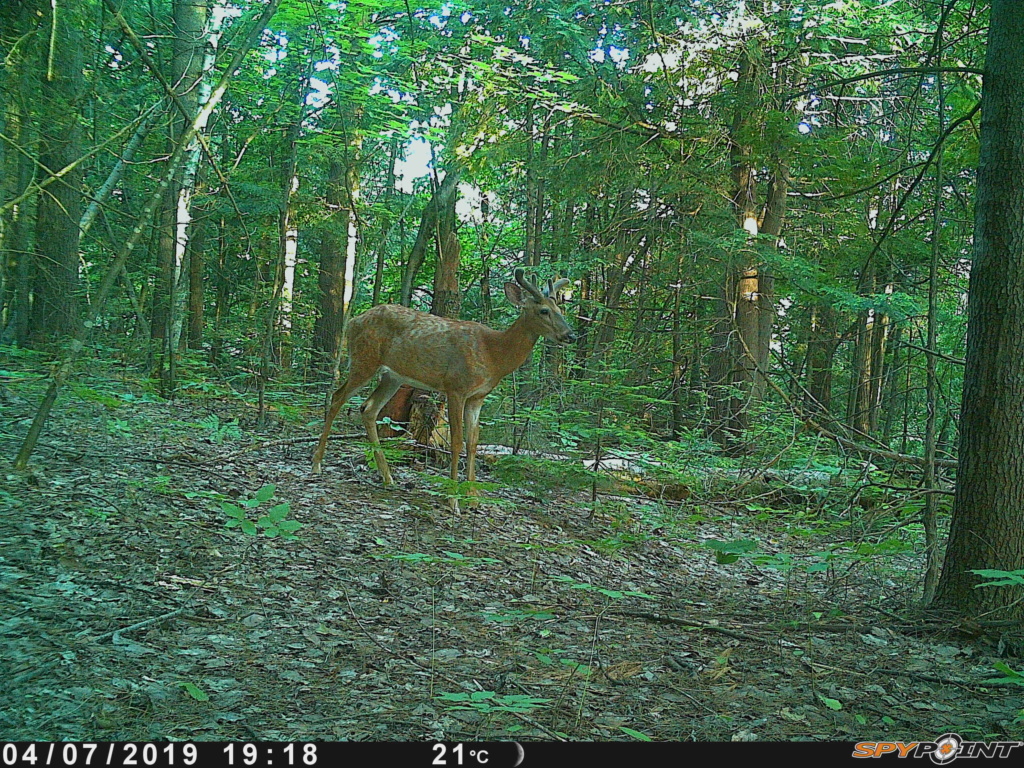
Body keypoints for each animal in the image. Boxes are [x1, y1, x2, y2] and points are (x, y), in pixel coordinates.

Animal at [309, 270, 577, 512]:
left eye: (559, 309)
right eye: (543, 311)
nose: (569, 335)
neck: (493, 354)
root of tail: (353, 321)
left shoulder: (478, 397)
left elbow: (473, 442)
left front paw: (474, 498)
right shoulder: (456, 387)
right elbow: (456, 441)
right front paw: (453, 499)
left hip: (392, 375)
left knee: (368, 409)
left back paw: (388, 477)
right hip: (364, 359)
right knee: (337, 397)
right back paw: (317, 464)